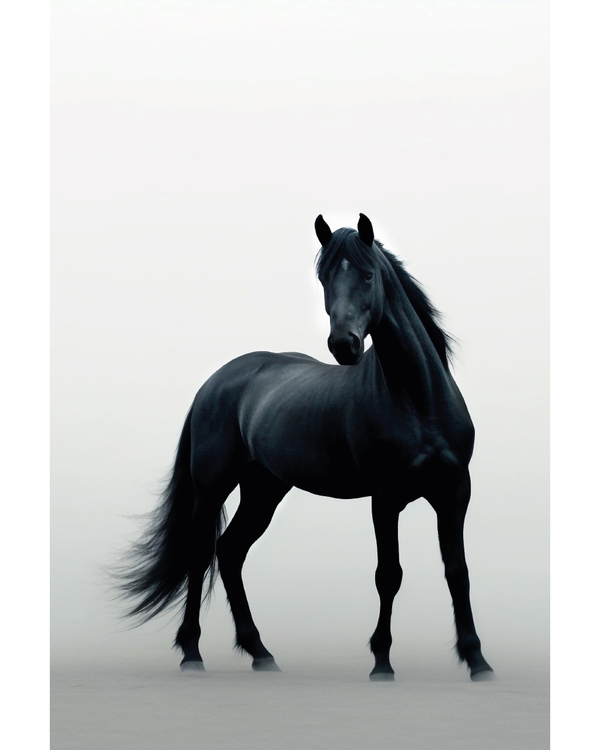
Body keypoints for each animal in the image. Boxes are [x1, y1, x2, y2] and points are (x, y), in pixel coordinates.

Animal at [116, 214, 493, 681]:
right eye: (323, 278)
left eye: (368, 275)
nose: (344, 345)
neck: (418, 400)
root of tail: (215, 382)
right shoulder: (385, 498)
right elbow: (389, 574)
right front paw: (382, 662)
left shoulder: (455, 493)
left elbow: (458, 572)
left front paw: (477, 660)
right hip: (212, 488)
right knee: (200, 554)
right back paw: (191, 654)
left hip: (264, 490)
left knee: (230, 552)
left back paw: (261, 653)